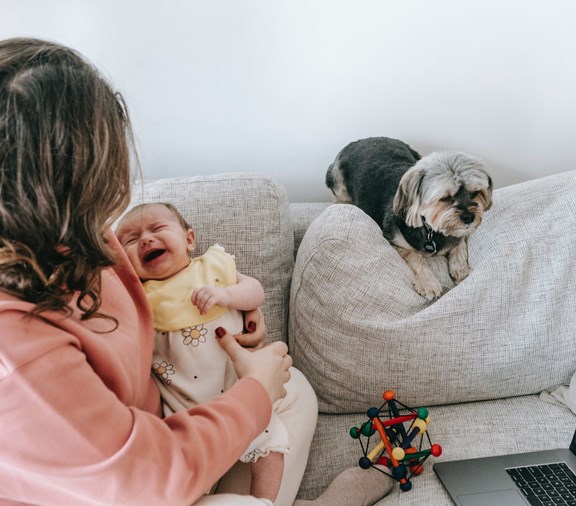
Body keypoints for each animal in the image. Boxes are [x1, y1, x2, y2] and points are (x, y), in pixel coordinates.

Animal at [326, 136, 492, 298]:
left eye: (475, 192)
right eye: (445, 198)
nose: (469, 217)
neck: (432, 230)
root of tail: (360, 140)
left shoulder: (459, 233)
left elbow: (459, 245)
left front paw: (461, 270)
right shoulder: (393, 241)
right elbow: (415, 257)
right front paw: (428, 283)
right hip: (337, 181)